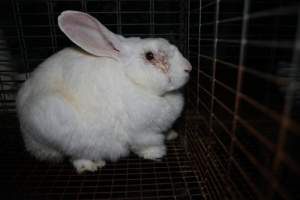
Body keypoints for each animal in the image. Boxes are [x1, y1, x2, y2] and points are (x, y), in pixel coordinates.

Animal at [16, 10, 191, 173]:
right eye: (150, 56)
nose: (188, 68)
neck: (132, 79)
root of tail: (27, 136)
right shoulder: (143, 132)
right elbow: (147, 145)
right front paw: (157, 153)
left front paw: (172, 134)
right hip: (69, 135)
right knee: (76, 156)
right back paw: (92, 165)